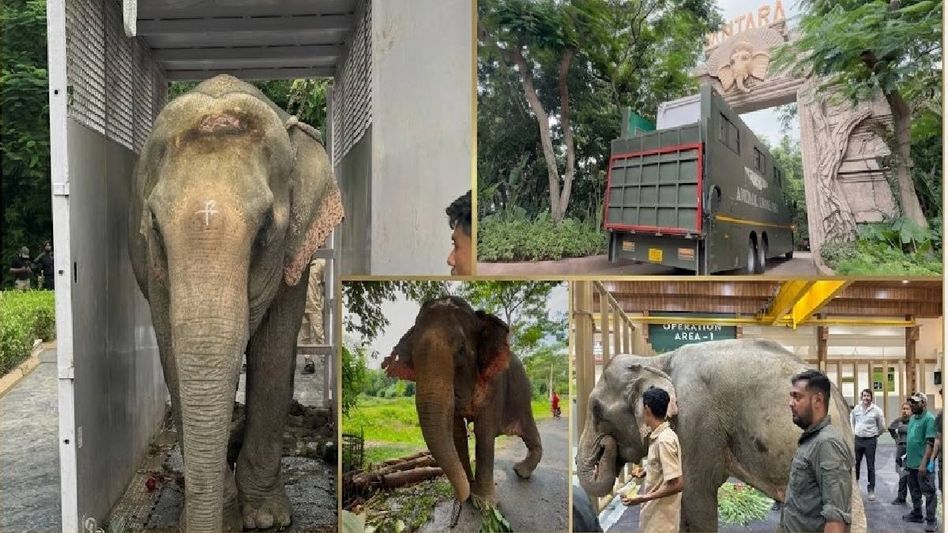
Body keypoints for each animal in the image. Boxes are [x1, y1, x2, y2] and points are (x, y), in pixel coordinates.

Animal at [128, 74, 343, 532]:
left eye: (263, 232)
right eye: (154, 225)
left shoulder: (292, 257)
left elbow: (275, 351)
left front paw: (267, 518)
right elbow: (172, 354)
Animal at [381, 296, 542, 507]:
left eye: (461, 350)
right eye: (412, 357)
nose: (462, 495)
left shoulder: (494, 383)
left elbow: (483, 431)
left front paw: (483, 503)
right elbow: (457, 431)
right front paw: (469, 491)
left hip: (522, 396)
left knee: (529, 431)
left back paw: (520, 471)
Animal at [576, 338, 866, 532]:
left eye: (597, 410)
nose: (606, 445)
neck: (656, 362)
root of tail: (840, 399)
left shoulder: (695, 419)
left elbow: (694, 495)